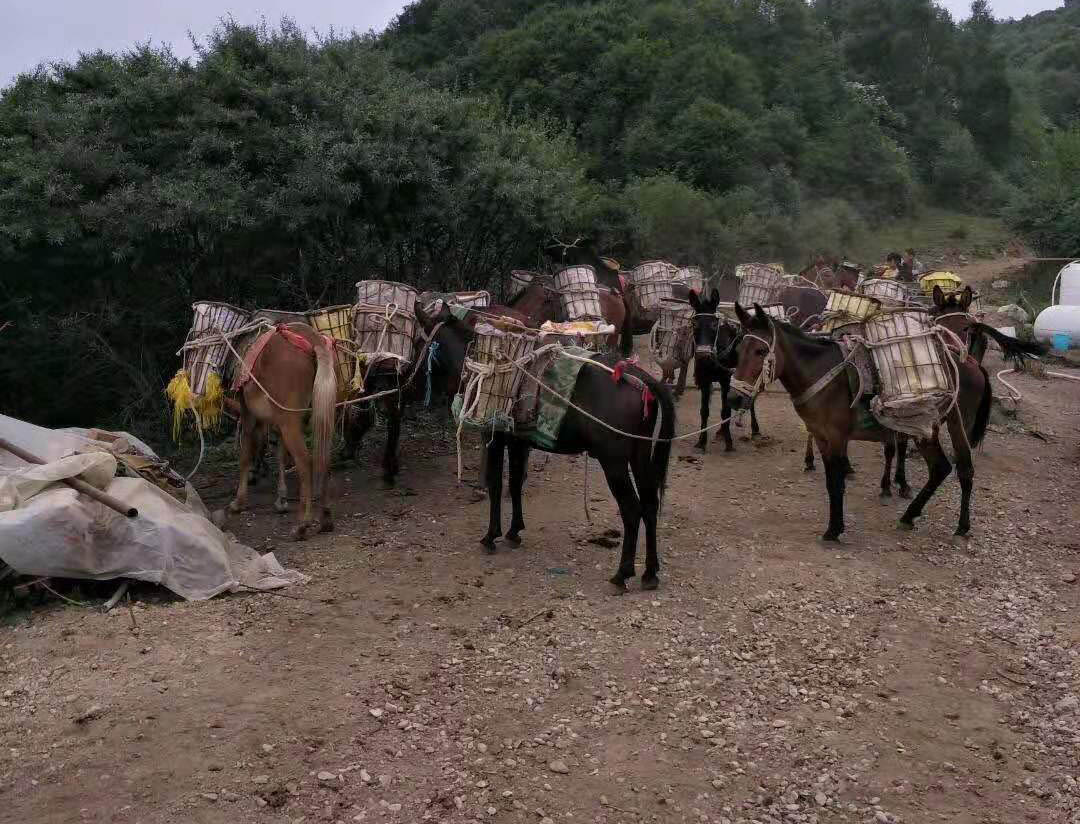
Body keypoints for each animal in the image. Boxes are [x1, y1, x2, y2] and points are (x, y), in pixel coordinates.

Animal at [230, 321, 339, 542]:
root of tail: (314, 341)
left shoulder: (250, 416)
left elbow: (246, 455)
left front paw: (239, 501)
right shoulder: (278, 423)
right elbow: (280, 453)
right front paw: (281, 499)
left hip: (290, 420)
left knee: (305, 461)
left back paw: (302, 525)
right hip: (322, 413)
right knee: (323, 456)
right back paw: (325, 518)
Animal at [691, 289, 760, 451]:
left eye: (714, 324)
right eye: (694, 324)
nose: (703, 354)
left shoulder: (727, 380)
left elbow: (725, 411)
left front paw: (729, 443)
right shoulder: (704, 380)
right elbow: (704, 411)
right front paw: (701, 441)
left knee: (751, 398)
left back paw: (754, 429)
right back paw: (721, 431)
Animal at [730, 302, 989, 542]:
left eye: (760, 351)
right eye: (739, 348)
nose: (734, 398)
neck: (818, 371)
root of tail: (971, 363)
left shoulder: (836, 437)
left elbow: (837, 481)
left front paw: (834, 529)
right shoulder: (821, 437)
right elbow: (830, 481)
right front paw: (835, 525)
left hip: (943, 425)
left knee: (956, 469)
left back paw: (954, 524)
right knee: (947, 468)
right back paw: (916, 517)